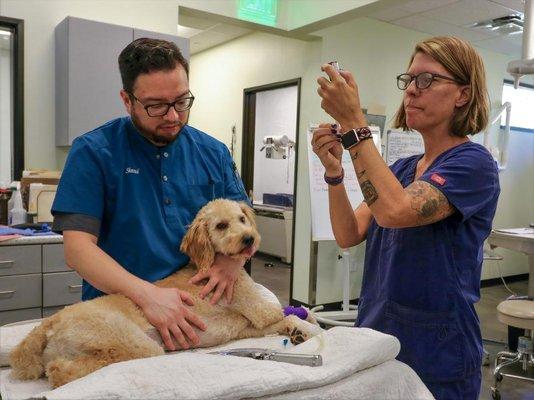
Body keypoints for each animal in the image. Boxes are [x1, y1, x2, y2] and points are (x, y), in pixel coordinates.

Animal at [9, 200, 322, 388]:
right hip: (135, 344)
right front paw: (307, 328)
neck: (208, 264)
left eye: (242, 218)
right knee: (63, 371)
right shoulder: (259, 311)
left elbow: (285, 318)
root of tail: (48, 324)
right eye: (221, 225)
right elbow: (286, 313)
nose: (249, 239)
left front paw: (299, 329)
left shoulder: (244, 327)